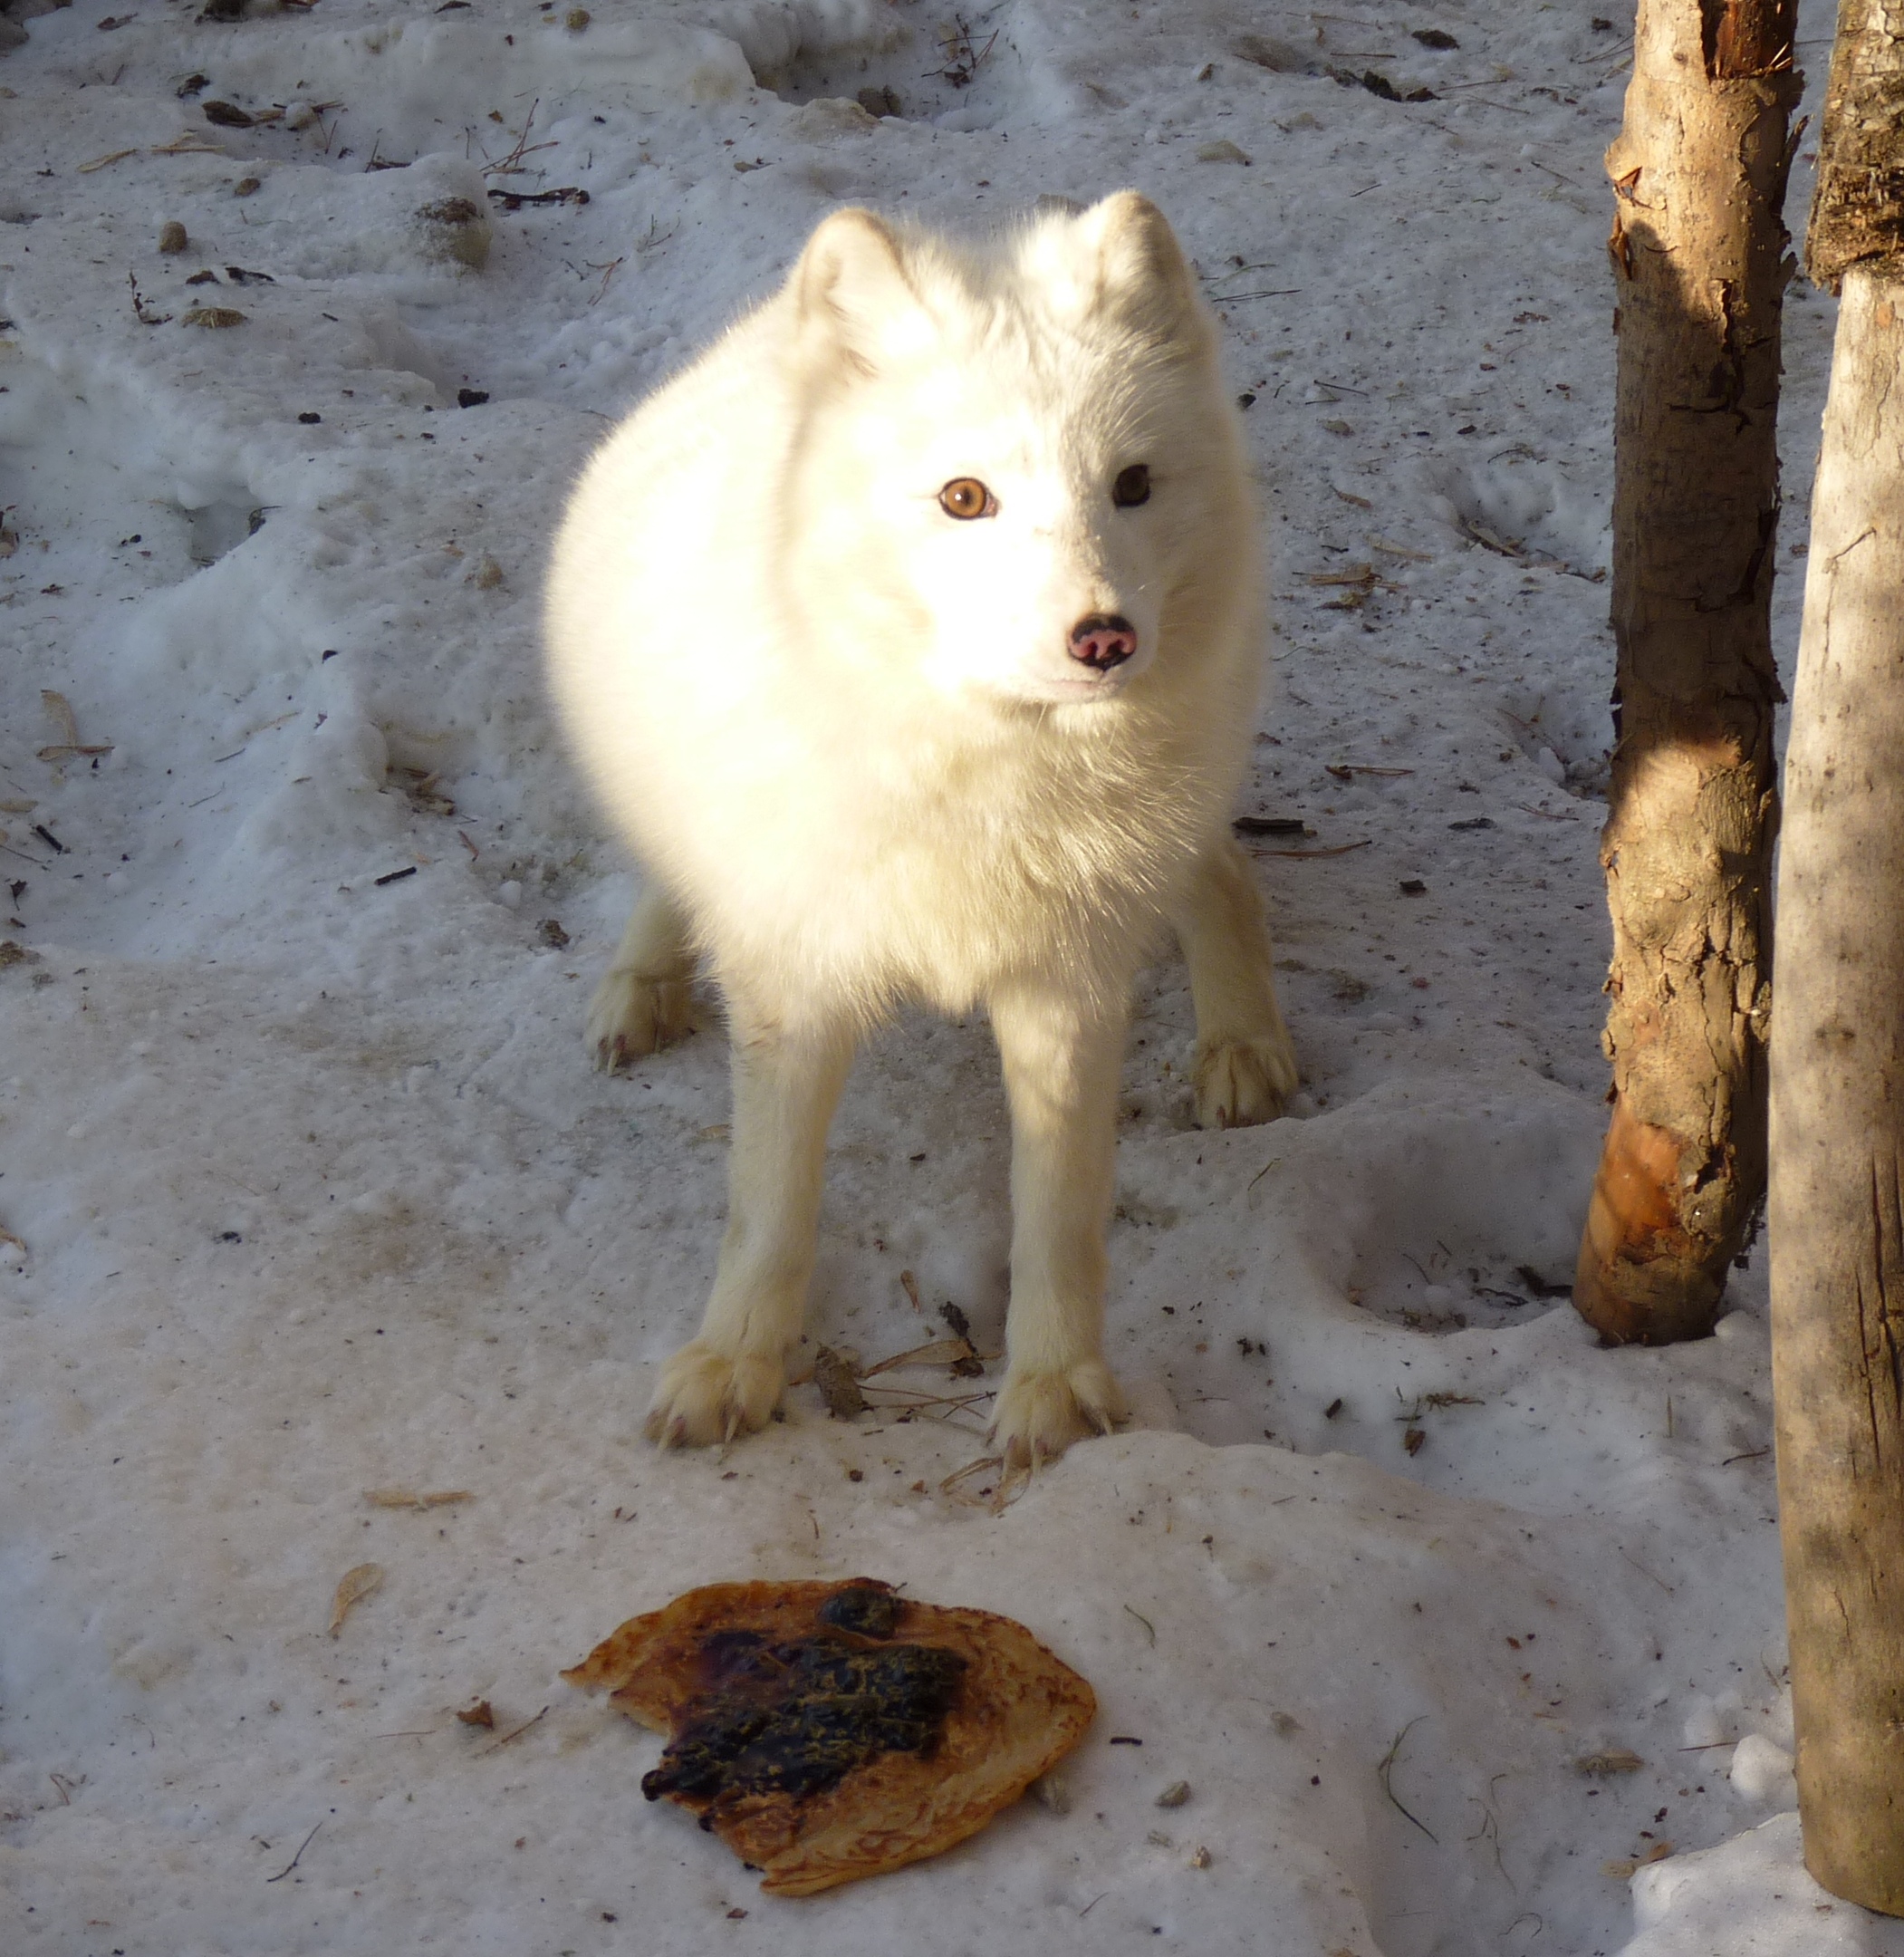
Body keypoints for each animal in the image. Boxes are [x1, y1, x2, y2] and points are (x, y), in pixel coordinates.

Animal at [543, 190, 1299, 1463]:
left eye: (1130, 486)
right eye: (963, 497)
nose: (1105, 639)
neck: (985, 777)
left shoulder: (1065, 980)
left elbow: (1058, 1215)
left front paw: (1051, 1386)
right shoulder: (792, 982)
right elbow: (767, 1208)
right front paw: (734, 1363)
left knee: (1224, 874)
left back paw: (1239, 1043)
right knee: (669, 876)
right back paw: (641, 983)